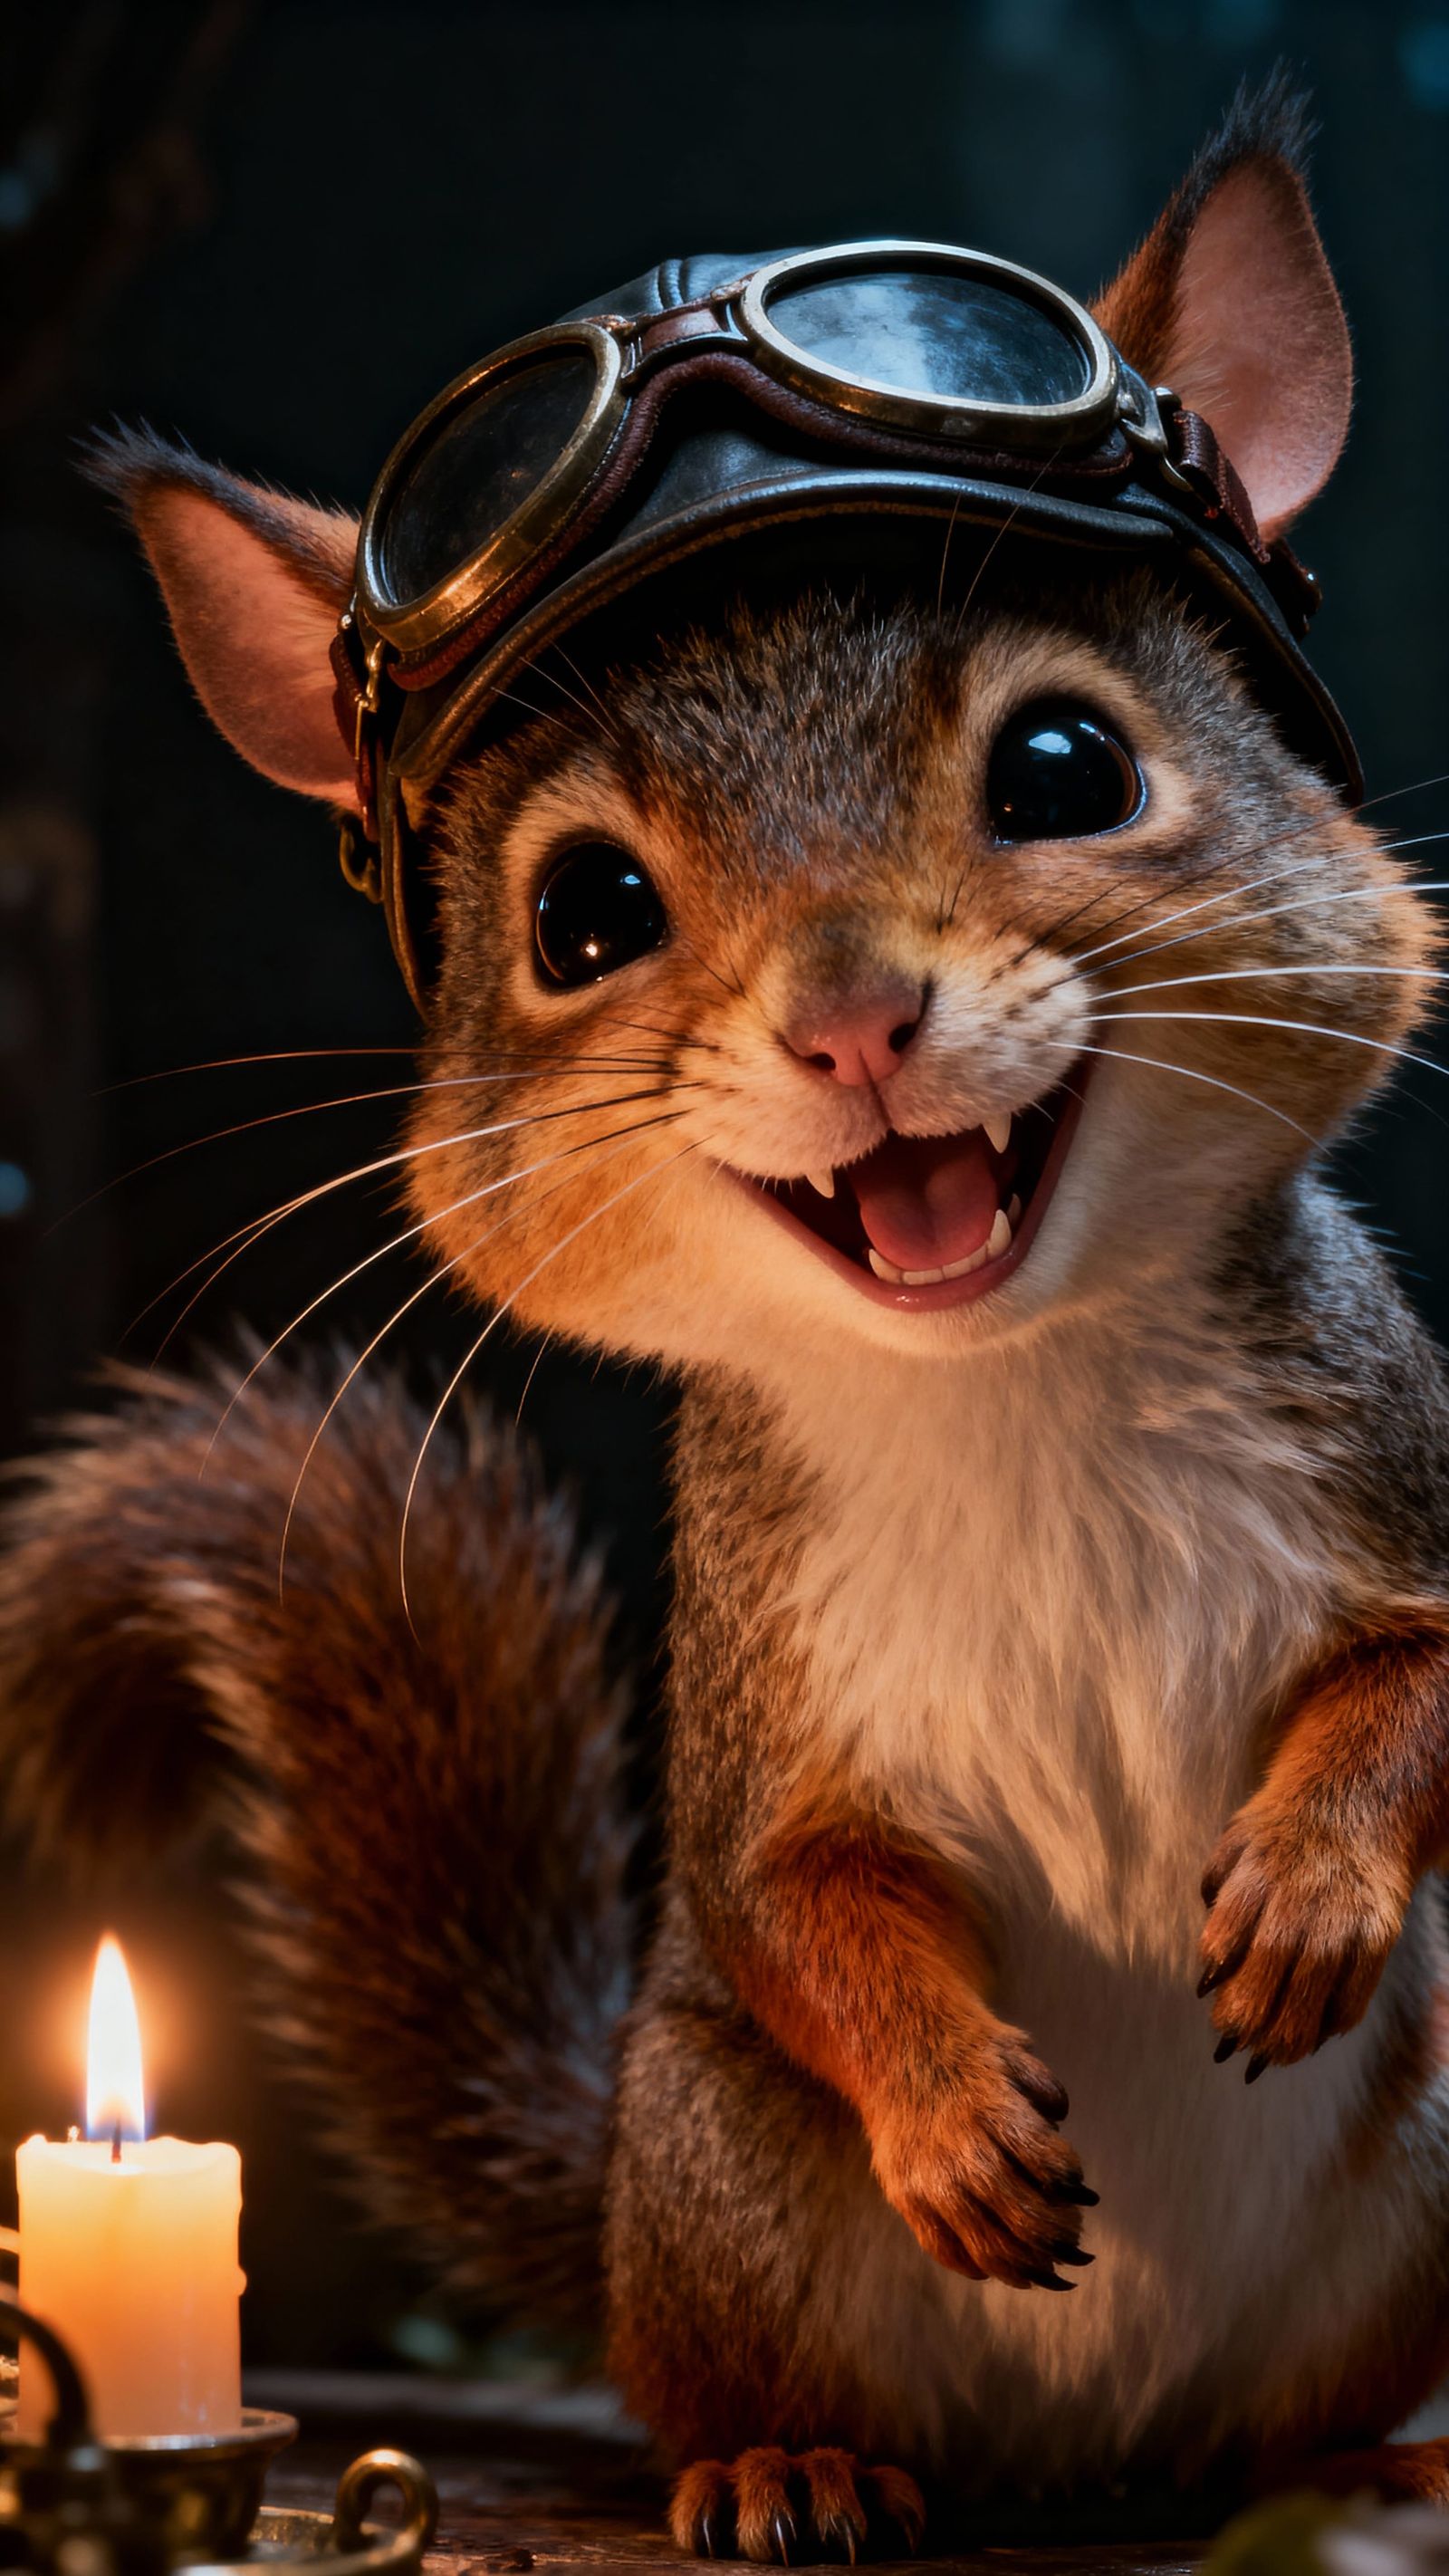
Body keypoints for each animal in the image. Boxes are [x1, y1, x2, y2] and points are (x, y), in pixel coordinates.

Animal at [5, 78, 1449, 2559]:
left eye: (1066, 767)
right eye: (580, 913)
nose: (854, 1018)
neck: (1010, 1380)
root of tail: (1102, 2457)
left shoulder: (1397, 1446)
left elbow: (1424, 1682)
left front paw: (1303, 1883)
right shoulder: (760, 1683)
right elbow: (788, 1900)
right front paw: (944, 2097)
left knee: (1300, 2410)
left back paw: (1368, 2451)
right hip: (713, 2176)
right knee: (743, 2354)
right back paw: (788, 2464)